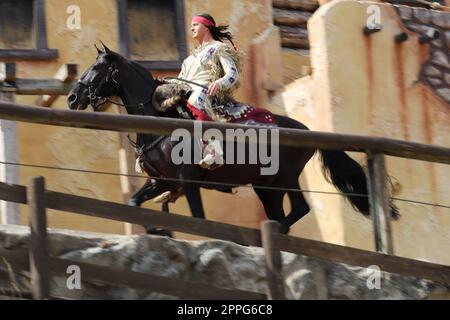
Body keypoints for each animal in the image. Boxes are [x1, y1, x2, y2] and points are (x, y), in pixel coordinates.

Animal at [66, 44, 398, 235]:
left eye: (96, 68)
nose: (72, 98)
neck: (159, 122)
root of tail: (305, 129)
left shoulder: (187, 181)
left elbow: (199, 217)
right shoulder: (161, 181)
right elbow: (134, 202)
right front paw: (157, 228)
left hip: (283, 179)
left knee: (299, 210)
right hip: (267, 187)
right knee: (284, 214)